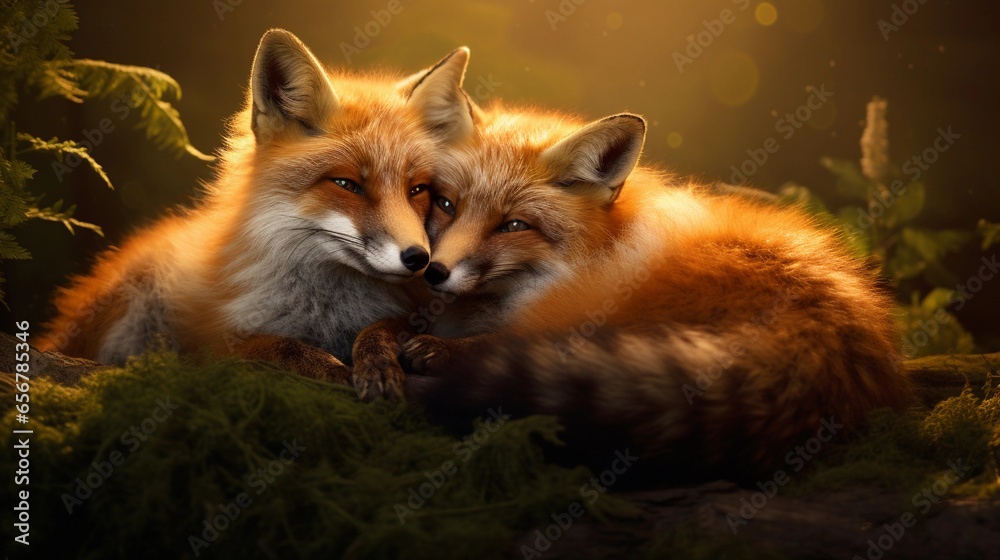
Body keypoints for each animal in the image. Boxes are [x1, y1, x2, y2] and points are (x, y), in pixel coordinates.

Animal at [35, 29, 475, 399]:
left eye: (417, 189)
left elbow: (384, 328)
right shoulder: (210, 340)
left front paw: (378, 359)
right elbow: (272, 347)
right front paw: (335, 370)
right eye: (347, 184)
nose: (419, 259)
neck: (326, 309)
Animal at [353, 105, 911, 479]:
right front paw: (374, 361)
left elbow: (492, 340)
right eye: (446, 204)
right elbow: (379, 328)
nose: (434, 272)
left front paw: (435, 350)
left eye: (513, 225)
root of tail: (836, 334)